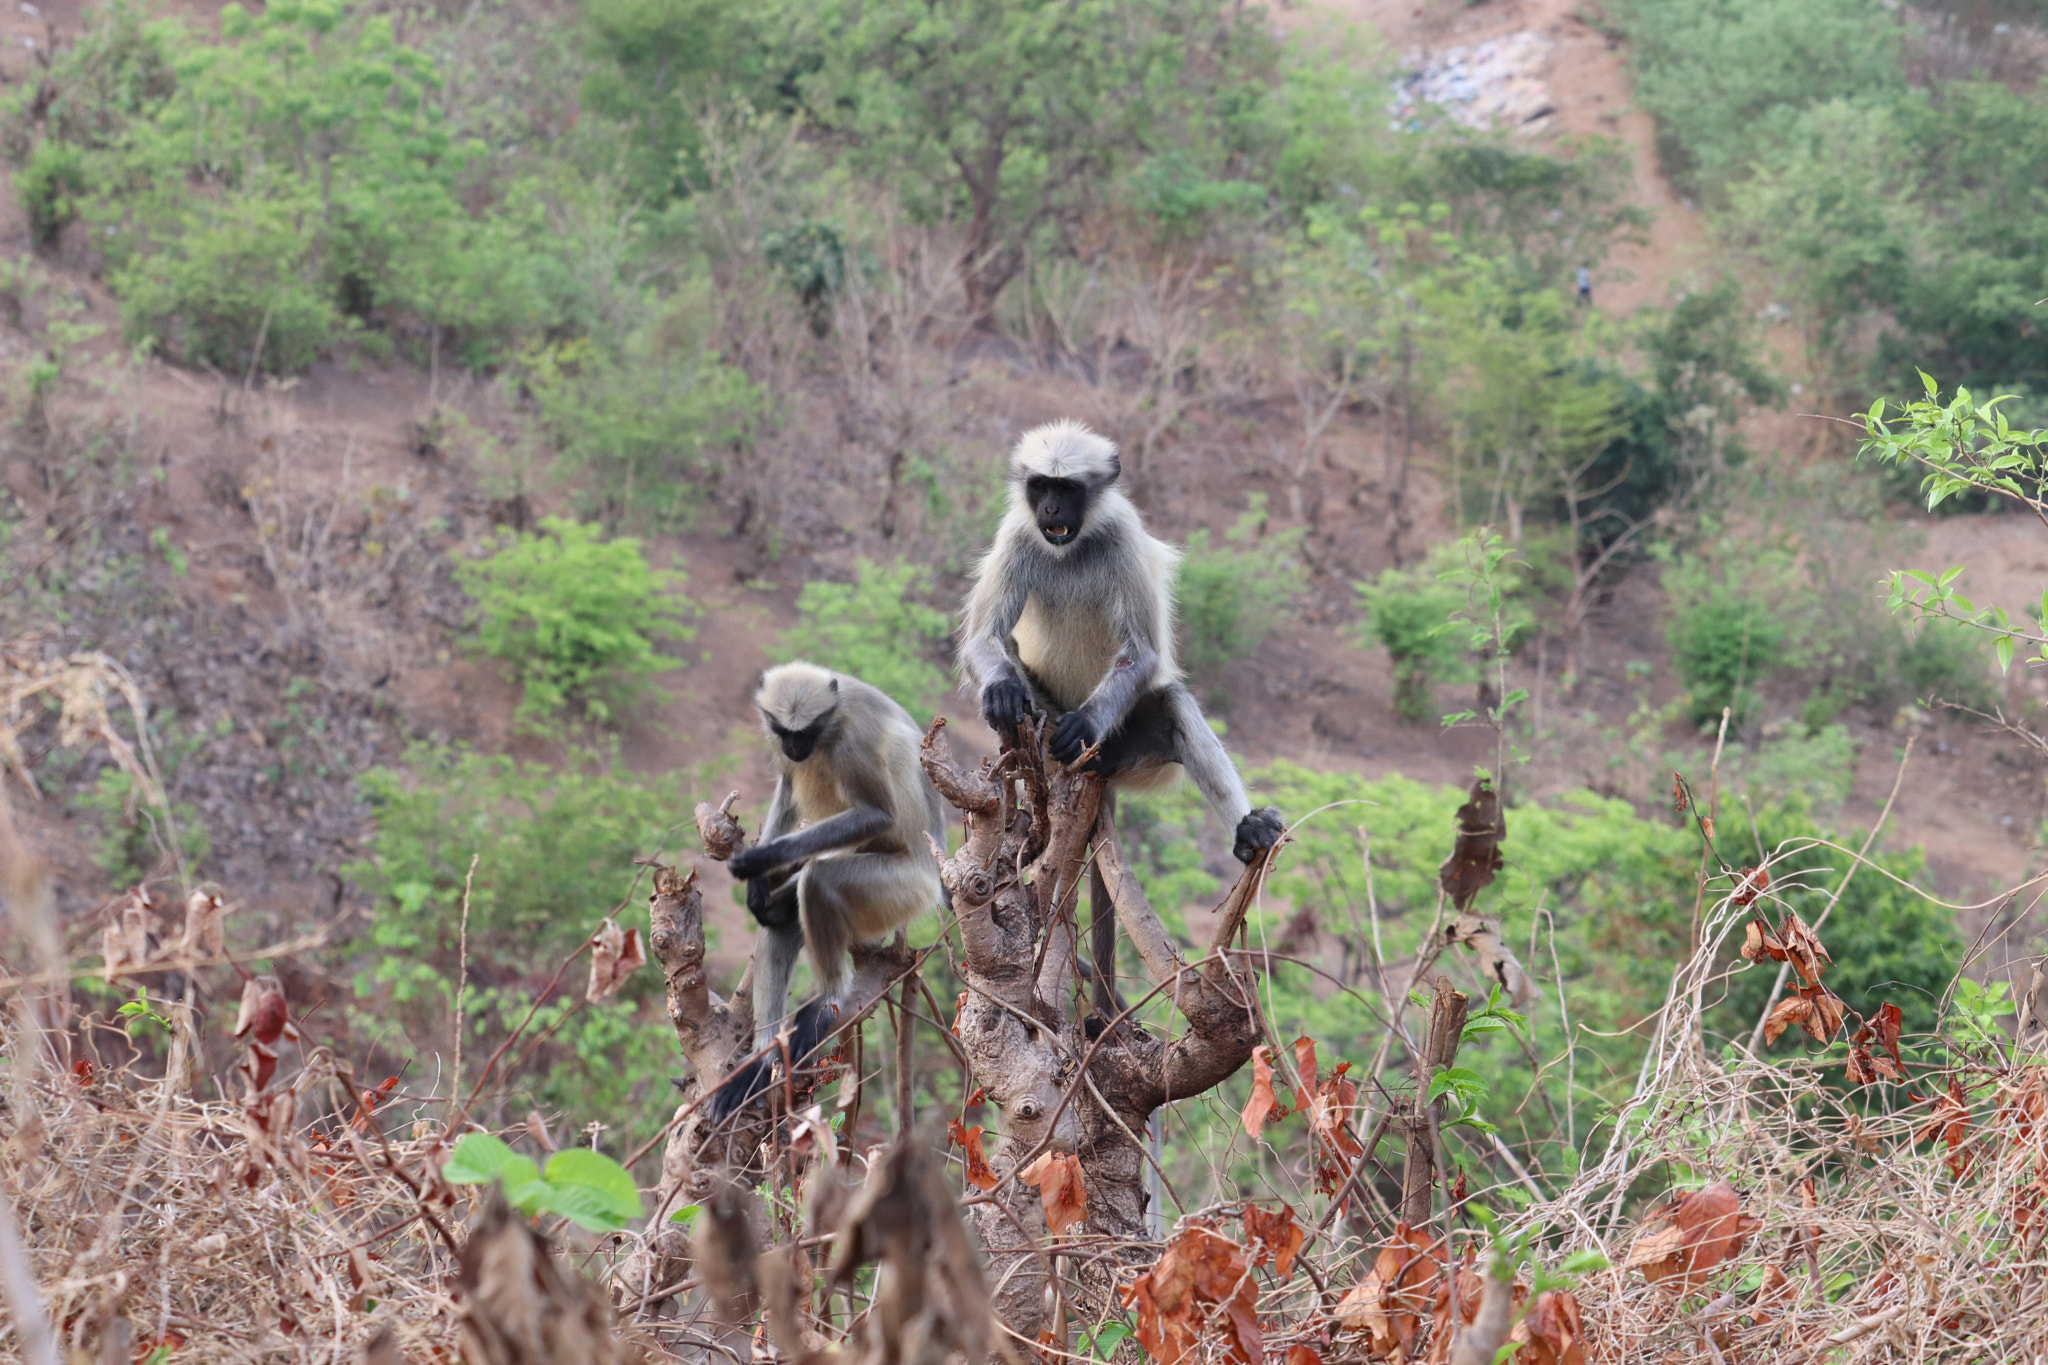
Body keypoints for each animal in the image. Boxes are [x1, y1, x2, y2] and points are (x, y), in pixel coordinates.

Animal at [712, 663, 950, 1121]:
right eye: (783, 730)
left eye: (808, 730)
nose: (795, 747)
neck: (835, 715)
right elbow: (787, 788)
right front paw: (758, 881)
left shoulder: (852, 739)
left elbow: (877, 814)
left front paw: (761, 859)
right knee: (783, 917)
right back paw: (764, 1060)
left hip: (903, 889)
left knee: (818, 881)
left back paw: (829, 1000)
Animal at [954, 421, 1277, 1019]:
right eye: (1040, 486)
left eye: (1068, 488)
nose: (1051, 507)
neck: (1072, 546)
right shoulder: (1017, 534)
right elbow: (983, 640)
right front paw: (1005, 691)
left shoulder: (1123, 536)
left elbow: (1143, 654)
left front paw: (1083, 725)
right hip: (1047, 729)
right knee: (1012, 685)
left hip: (1128, 749)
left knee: (1171, 706)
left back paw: (1248, 830)